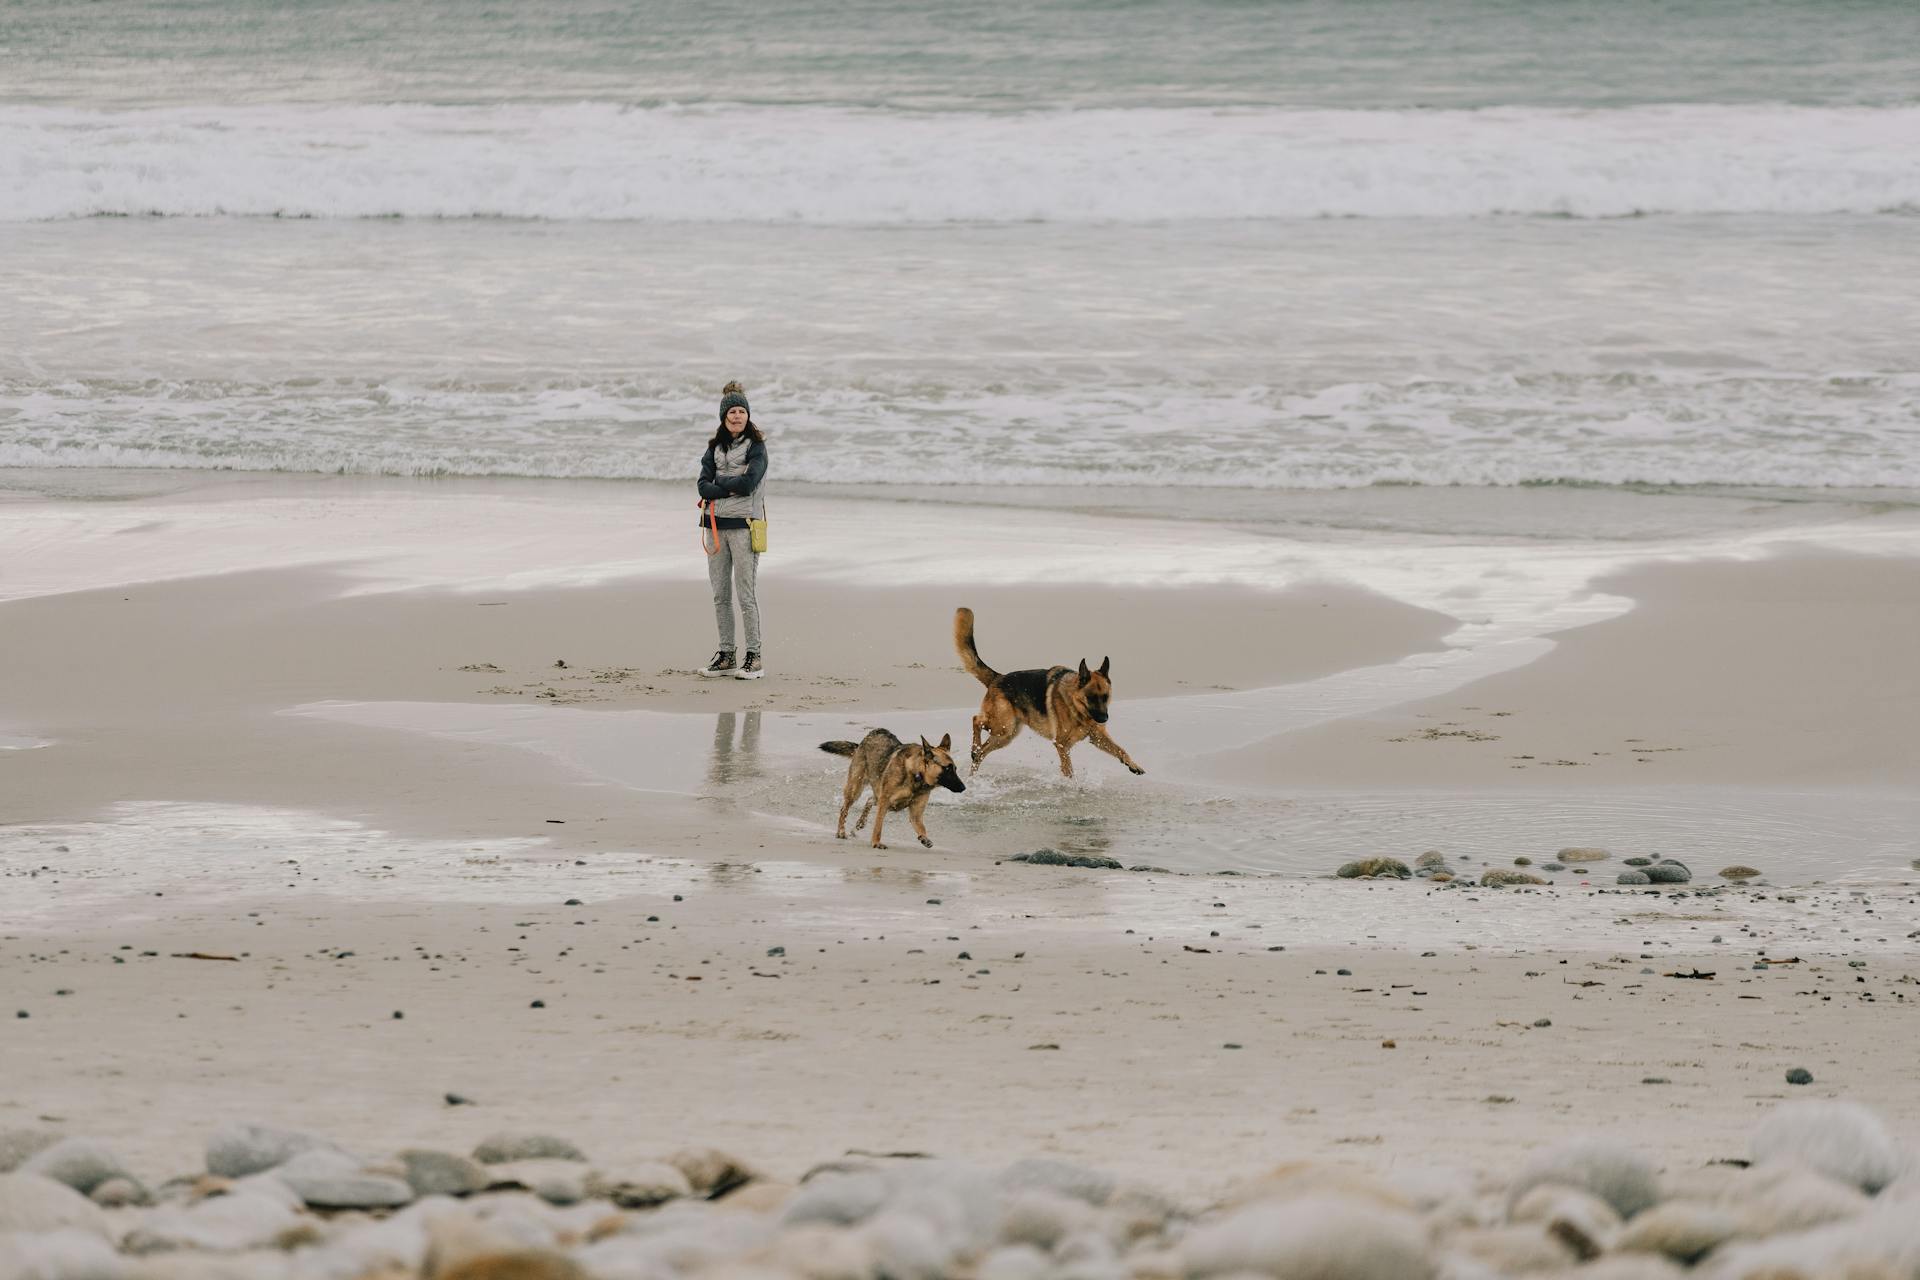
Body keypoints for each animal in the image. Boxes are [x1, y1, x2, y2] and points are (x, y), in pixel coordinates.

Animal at [817, 729, 967, 852]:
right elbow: (878, 826)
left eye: (955, 769)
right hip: (855, 789)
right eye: (947, 768)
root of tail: (871, 734)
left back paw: (860, 822)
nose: (963, 788)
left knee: (870, 799)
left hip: (881, 796)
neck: (916, 775)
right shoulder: (884, 803)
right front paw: (876, 843)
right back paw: (841, 831)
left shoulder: (915, 813)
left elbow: (921, 826)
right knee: (844, 809)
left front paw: (924, 837)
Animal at [956, 610, 1144, 782]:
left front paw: (1134, 765)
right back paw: (974, 748)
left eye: (1105, 697)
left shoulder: (1097, 737)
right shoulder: (1062, 745)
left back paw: (972, 771)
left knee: (981, 753)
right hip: (1003, 727)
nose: (1104, 719)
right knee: (975, 720)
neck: (1076, 706)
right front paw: (1072, 786)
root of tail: (997, 677)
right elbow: (1069, 771)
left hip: (1005, 735)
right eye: (1090, 697)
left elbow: (1121, 749)